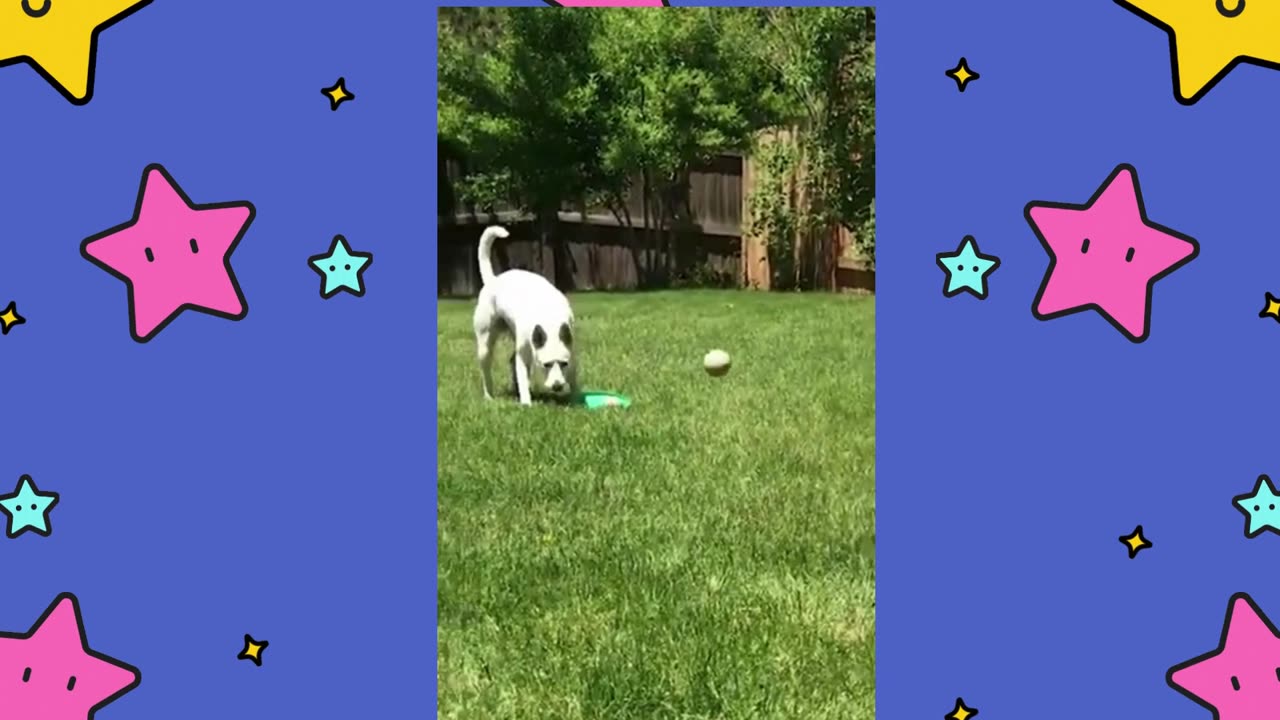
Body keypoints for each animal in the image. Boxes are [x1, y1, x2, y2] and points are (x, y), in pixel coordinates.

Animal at [473, 224, 578, 404]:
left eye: (563, 364)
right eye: (546, 364)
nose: (557, 386)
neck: (549, 317)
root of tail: (492, 280)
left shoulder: (571, 353)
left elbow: (573, 376)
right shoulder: (524, 355)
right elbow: (522, 375)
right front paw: (526, 403)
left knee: (511, 361)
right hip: (485, 344)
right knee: (487, 369)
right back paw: (489, 396)